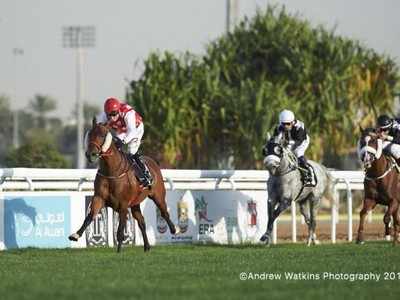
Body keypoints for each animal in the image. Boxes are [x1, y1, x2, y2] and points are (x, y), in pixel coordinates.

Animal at [69, 116, 180, 252]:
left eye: (102, 135)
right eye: (90, 134)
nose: (91, 154)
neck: (112, 171)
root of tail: (153, 161)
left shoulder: (123, 205)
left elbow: (120, 231)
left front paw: (118, 251)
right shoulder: (99, 198)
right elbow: (90, 217)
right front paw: (76, 235)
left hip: (158, 196)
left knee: (164, 213)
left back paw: (175, 229)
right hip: (135, 204)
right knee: (141, 221)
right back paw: (147, 246)